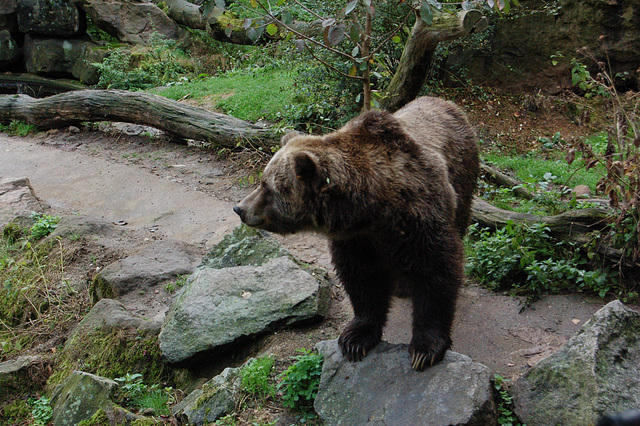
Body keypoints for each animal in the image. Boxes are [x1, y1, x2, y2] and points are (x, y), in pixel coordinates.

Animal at [232, 95, 478, 370]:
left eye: (266, 186)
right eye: (263, 180)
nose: (240, 208)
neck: (370, 209)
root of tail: (446, 103)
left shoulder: (420, 216)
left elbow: (436, 272)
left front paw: (425, 349)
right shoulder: (356, 239)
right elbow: (362, 279)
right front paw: (356, 339)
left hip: (462, 174)